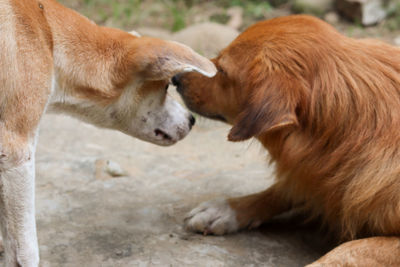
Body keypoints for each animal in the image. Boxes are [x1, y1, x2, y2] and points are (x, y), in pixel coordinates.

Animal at [174, 15, 400, 266]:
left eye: (222, 70)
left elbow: (351, 249)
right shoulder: (314, 172)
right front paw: (226, 209)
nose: (176, 78)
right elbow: (286, 188)